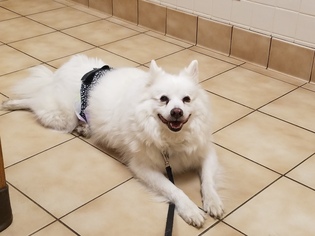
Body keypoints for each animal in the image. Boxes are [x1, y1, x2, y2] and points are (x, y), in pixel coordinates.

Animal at [1, 54, 225, 227]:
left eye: (186, 99)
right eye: (163, 99)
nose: (176, 112)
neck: (170, 137)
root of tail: (63, 70)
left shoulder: (205, 153)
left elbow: (208, 180)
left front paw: (213, 202)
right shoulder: (143, 167)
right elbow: (174, 189)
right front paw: (190, 209)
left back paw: (83, 127)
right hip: (62, 117)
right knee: (35, 101)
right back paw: (13, 103)